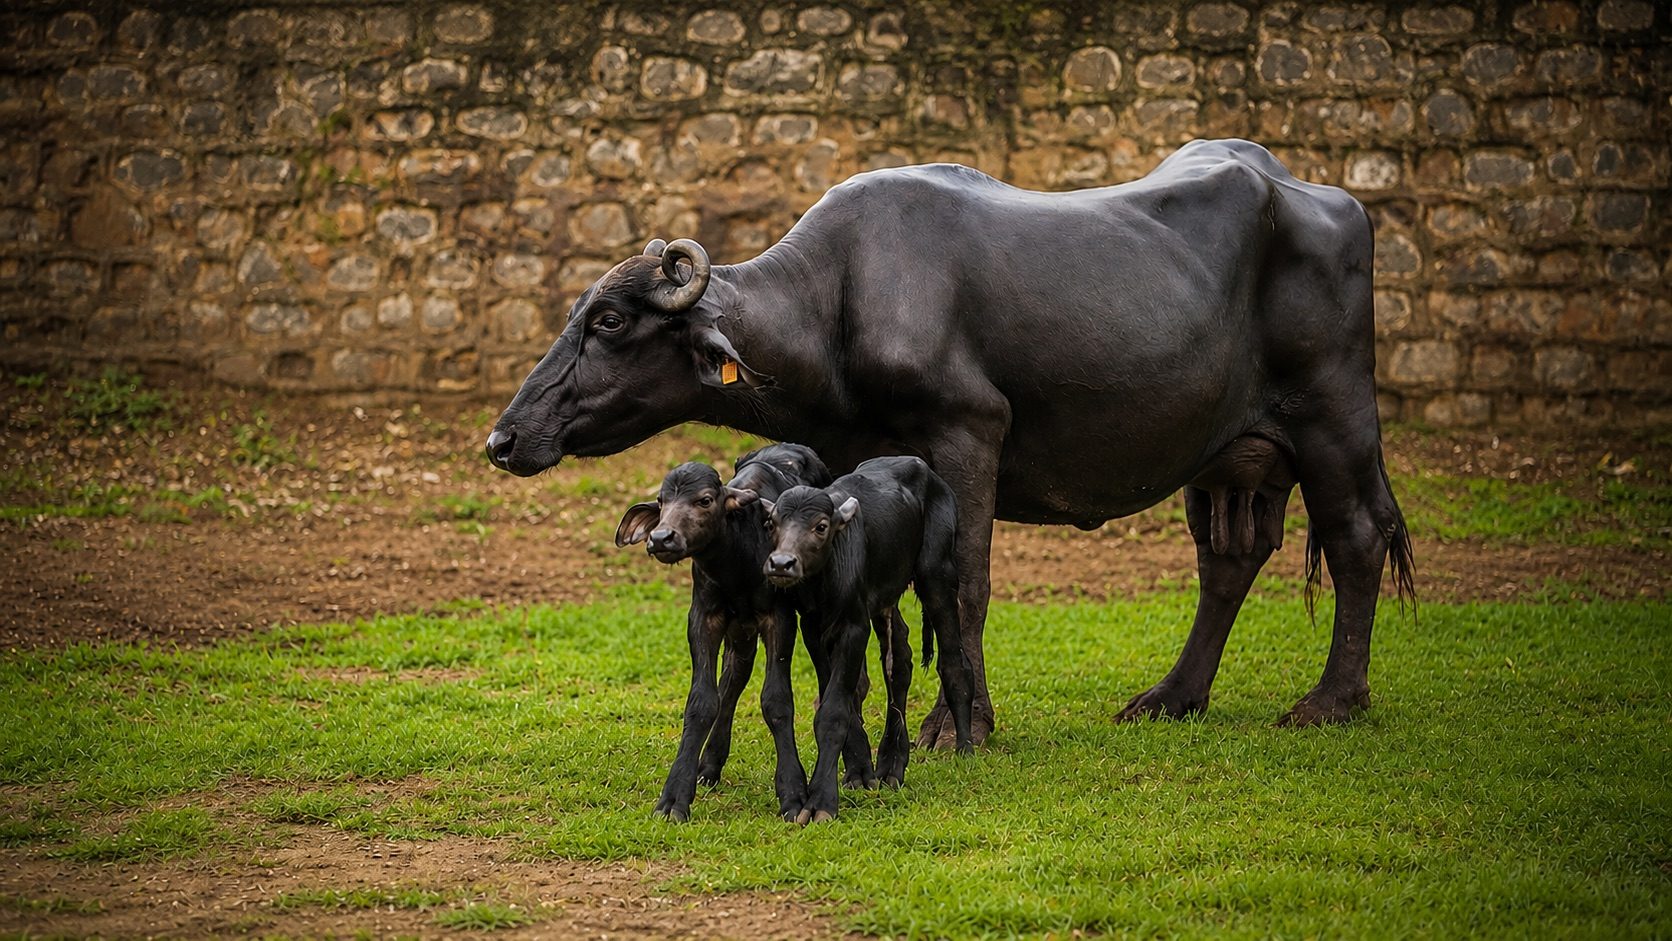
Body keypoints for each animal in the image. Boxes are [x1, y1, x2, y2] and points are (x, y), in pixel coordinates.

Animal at [488, 138, 1415, 747]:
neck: (838, 301)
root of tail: (1314, 194)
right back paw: (1173, 695)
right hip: (1229, 455)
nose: (504, 437)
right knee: (1229, 557)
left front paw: (957, 721)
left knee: (1357, 535)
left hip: (1333, 412)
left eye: (610, 321)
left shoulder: (969, 437)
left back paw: (1333, 699)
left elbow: (962, 583)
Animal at [761, 456, 974, 822]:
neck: (824, 583)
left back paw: (964, 748)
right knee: (899, 659)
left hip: (938, 576)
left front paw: (821, 801)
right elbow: (840, 699)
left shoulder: (854, 627)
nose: (781, 563)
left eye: (820, 526)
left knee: (952, 661)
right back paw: (892, 764)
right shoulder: (814, 630)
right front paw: (859, 770)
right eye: (773, 523)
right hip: (886, 600)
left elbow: (834, 711)